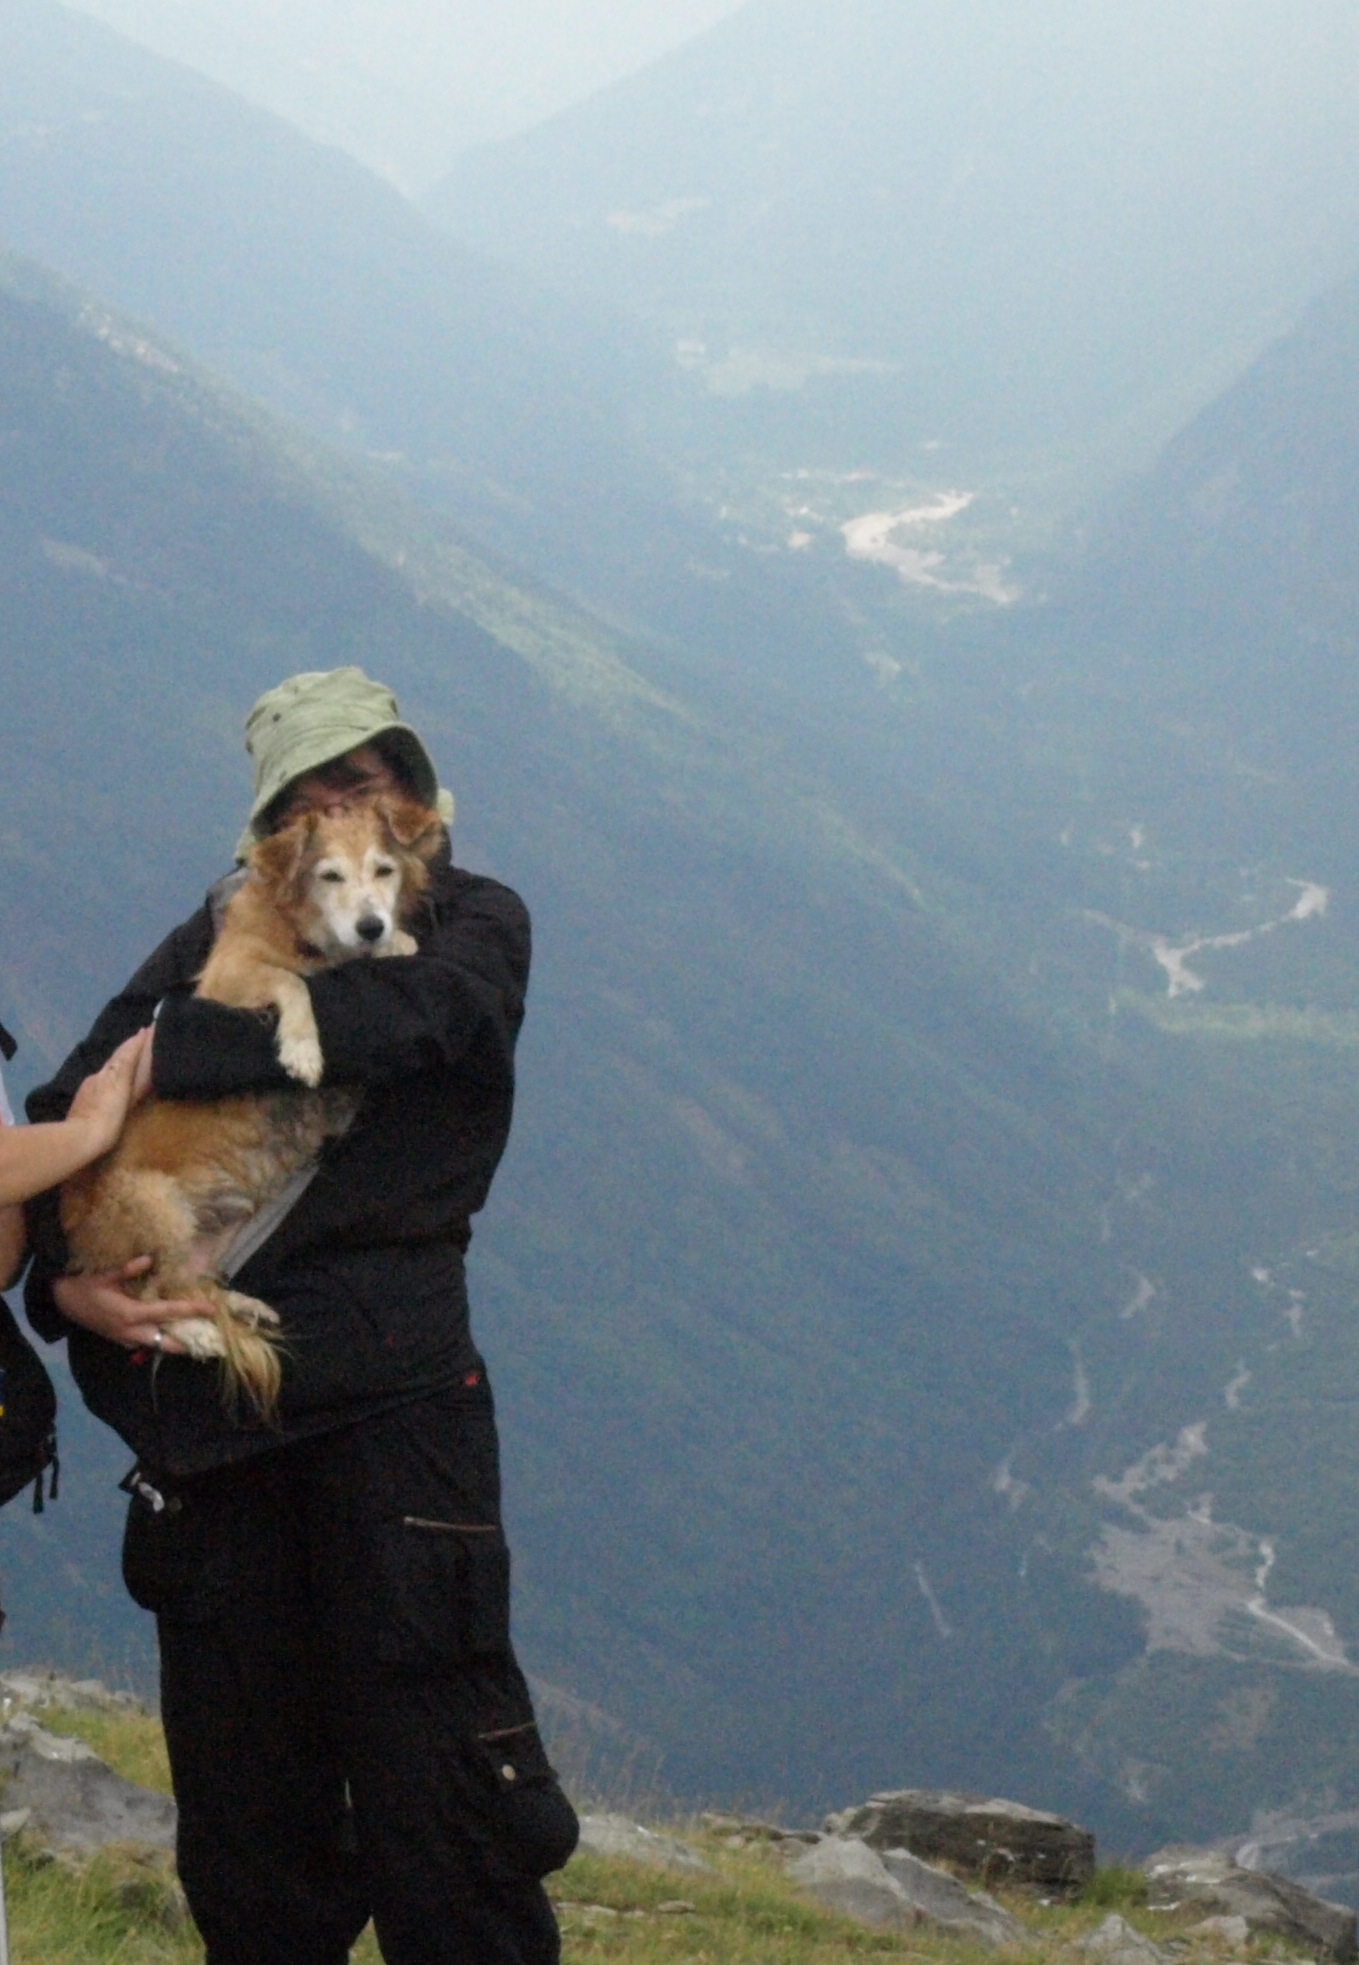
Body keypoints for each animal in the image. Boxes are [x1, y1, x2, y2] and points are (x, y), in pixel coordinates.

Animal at [60, 794, 444, 1420]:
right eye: (329, 875)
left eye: (385, 869)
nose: (372, 925)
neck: (309, 937)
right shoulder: (234, 978)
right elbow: (293, 984)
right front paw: (303, 1050)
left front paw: (396, 943)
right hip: (153, 1206)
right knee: (152, 1293)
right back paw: (197, 1333)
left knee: (192, 1285)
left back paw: (240, 1305)